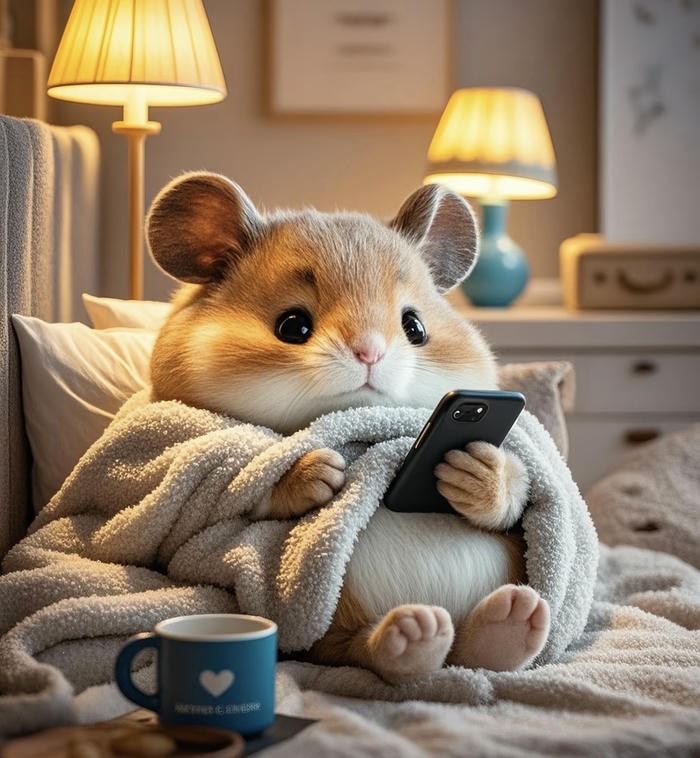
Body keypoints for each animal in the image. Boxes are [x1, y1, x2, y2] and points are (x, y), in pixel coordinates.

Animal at [147, 172, 550, 682]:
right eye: (293, 325)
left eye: (415, 327)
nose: (370, 351)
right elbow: (244, 493)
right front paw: (312, 472)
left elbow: (512, 491)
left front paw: (477, 473)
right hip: (331, 633)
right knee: (367, 650)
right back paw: (419, 636)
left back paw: (507, 624)